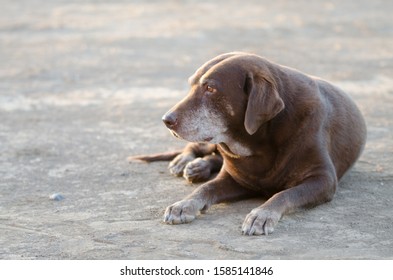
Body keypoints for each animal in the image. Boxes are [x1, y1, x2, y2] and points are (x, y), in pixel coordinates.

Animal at [130, 52, 366, 234]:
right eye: (191, 86)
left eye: (210, 89)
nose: (166, 120)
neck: (259, 141)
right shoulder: (235, 178)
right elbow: (206, 188)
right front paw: (185, 203)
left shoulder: (323, 180)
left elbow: (284, 194)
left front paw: (262, 214)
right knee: (199, 148)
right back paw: (186, 162)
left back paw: (199, 166)